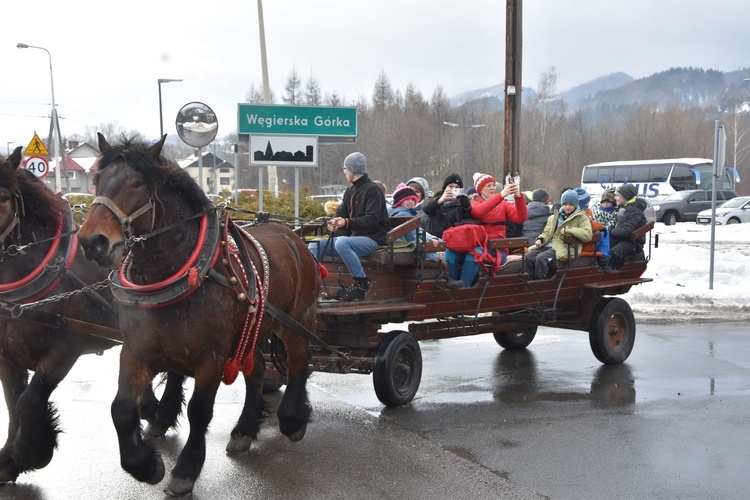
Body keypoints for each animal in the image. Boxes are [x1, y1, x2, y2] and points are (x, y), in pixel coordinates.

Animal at [0, 146, 187, 482]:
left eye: (5, 197)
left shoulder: (65, 347)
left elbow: (27, 402)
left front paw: (31, 453)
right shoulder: (6, 355)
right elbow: (11, 404)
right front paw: (9, 457)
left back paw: (161, 415)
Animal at [78, 134, 318, 496]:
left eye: (136, 183)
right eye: (96, 179)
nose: (92, 241)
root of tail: (294, 236)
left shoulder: (212, 357)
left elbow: (199, 411)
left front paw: (186, 469)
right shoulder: (136, 351)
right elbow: (121, 408)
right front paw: (145, 465)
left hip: (295, 321)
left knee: (298, 364)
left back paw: (292, 420)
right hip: (254, 330)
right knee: (258, 372)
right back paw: (244, 429)